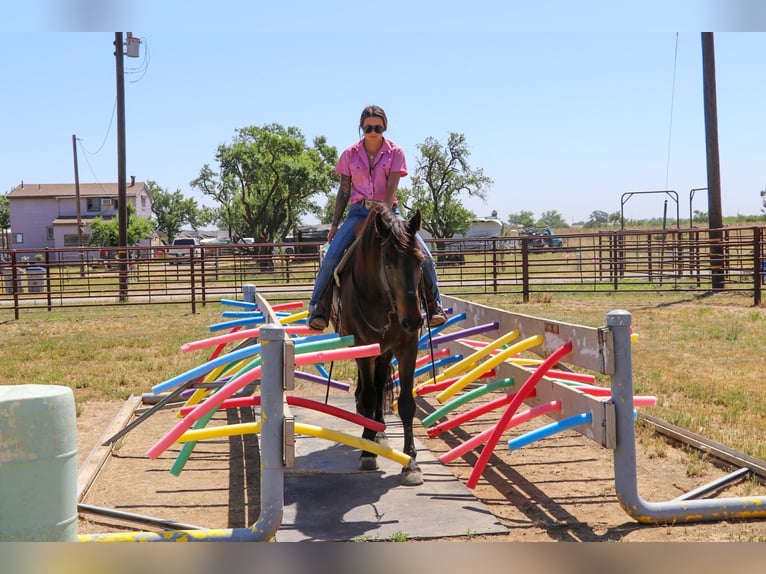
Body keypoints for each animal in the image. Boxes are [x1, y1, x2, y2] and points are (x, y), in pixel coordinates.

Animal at [330, 205, 426, 488]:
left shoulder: (407, 346)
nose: (413, 319)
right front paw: (367, 452)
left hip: (385, 351)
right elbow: (369, 396)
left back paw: (379, 429)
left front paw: (411, 463)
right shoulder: (363, 346)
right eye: (388, 263)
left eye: (420, 262)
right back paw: (370, 433)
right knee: (368, 392)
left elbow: (406, 403)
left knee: (379, 381)